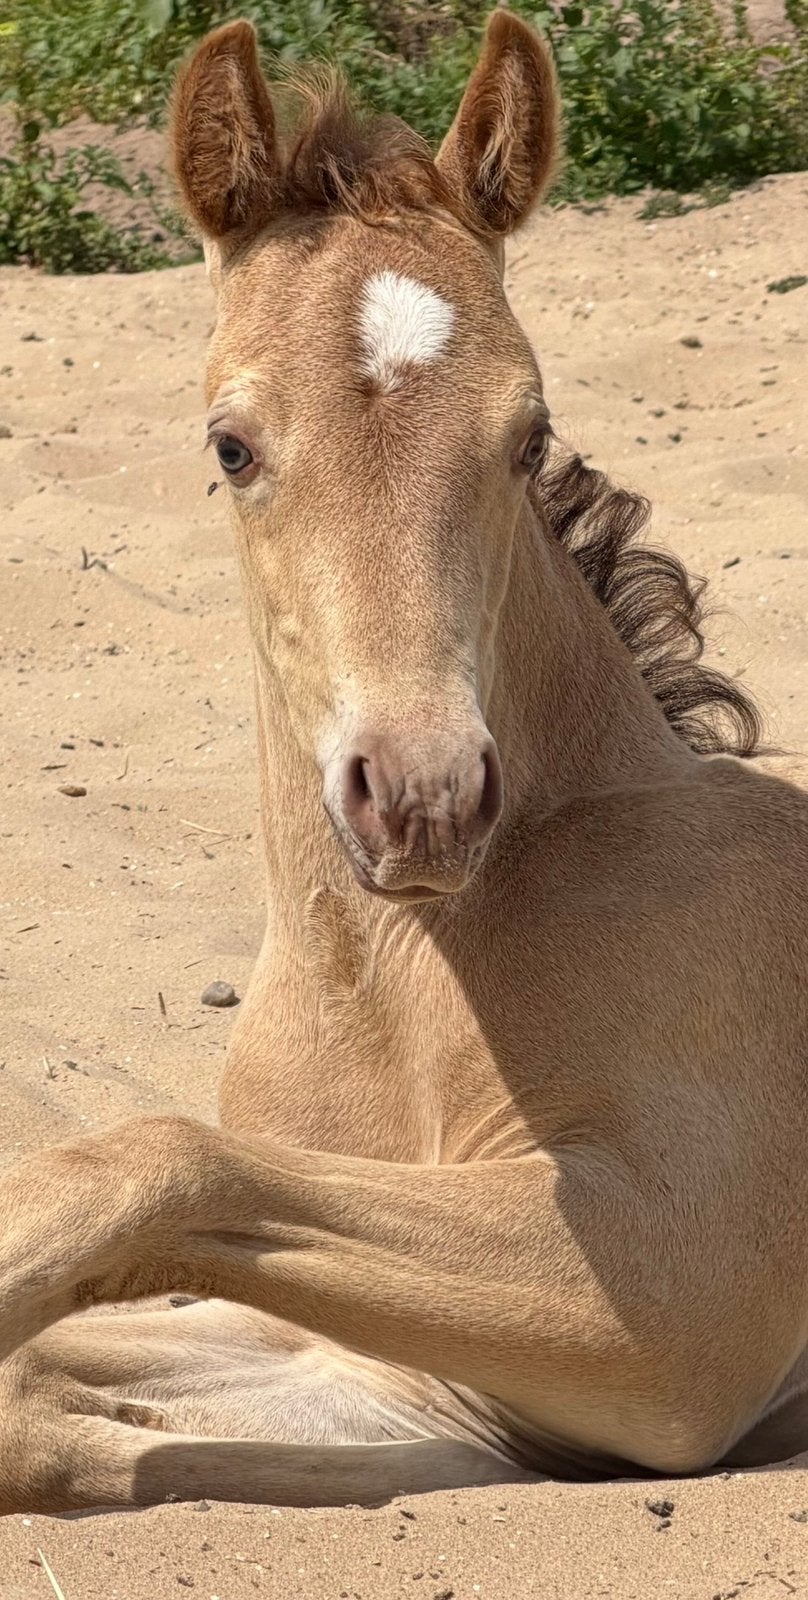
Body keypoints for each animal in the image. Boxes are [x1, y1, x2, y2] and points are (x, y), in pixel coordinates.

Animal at [1, 11, 807, 1514]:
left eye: (529, 434)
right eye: (232, 444)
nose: (425, 799)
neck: (398, 983)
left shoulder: (660, 1301)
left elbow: (155, 1164)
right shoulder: (376, 1368)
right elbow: (61, 1379)